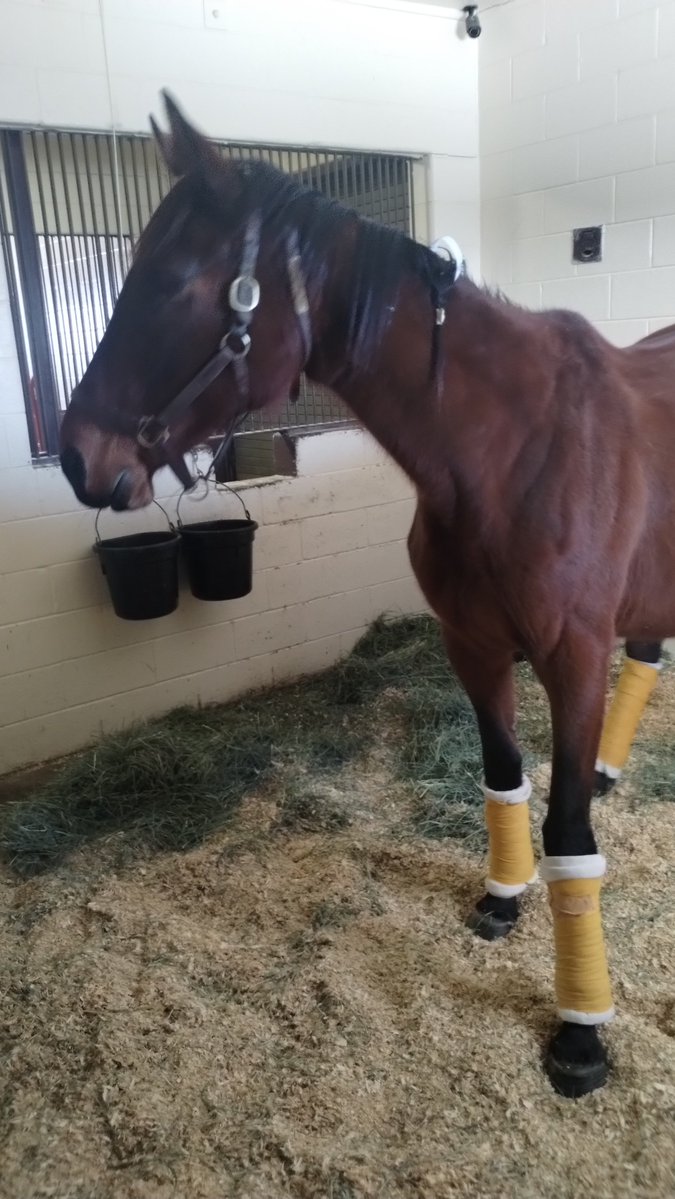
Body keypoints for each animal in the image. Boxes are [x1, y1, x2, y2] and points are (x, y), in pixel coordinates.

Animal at [60, 93, 675, 1099]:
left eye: (176, 281)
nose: (79, 457)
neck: (513, 450)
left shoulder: (572, 659)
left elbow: (568, 829)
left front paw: (581, 1033)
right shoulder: (471, 644)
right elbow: (503, 776)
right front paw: (501, 899)